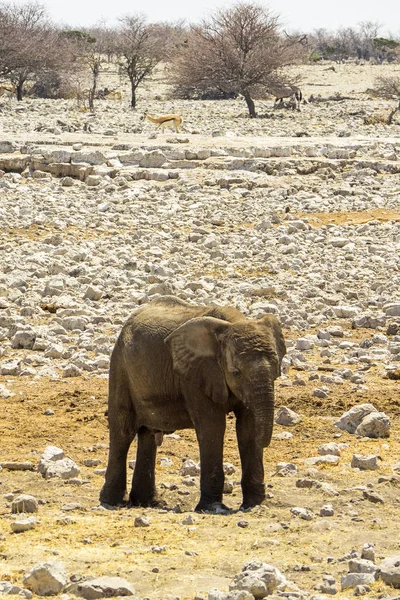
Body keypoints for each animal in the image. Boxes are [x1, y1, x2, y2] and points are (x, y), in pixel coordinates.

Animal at [101, 296, 288, 510]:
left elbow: (248, 427)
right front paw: (212, 508)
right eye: (236, 373)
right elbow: (213, 427)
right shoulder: (194, 375)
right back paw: (111, 502)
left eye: (276, 370)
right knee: (122, 432)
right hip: (120, 368)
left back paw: (148, 503)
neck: (232, 323)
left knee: (147, 434)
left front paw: (253, 505)